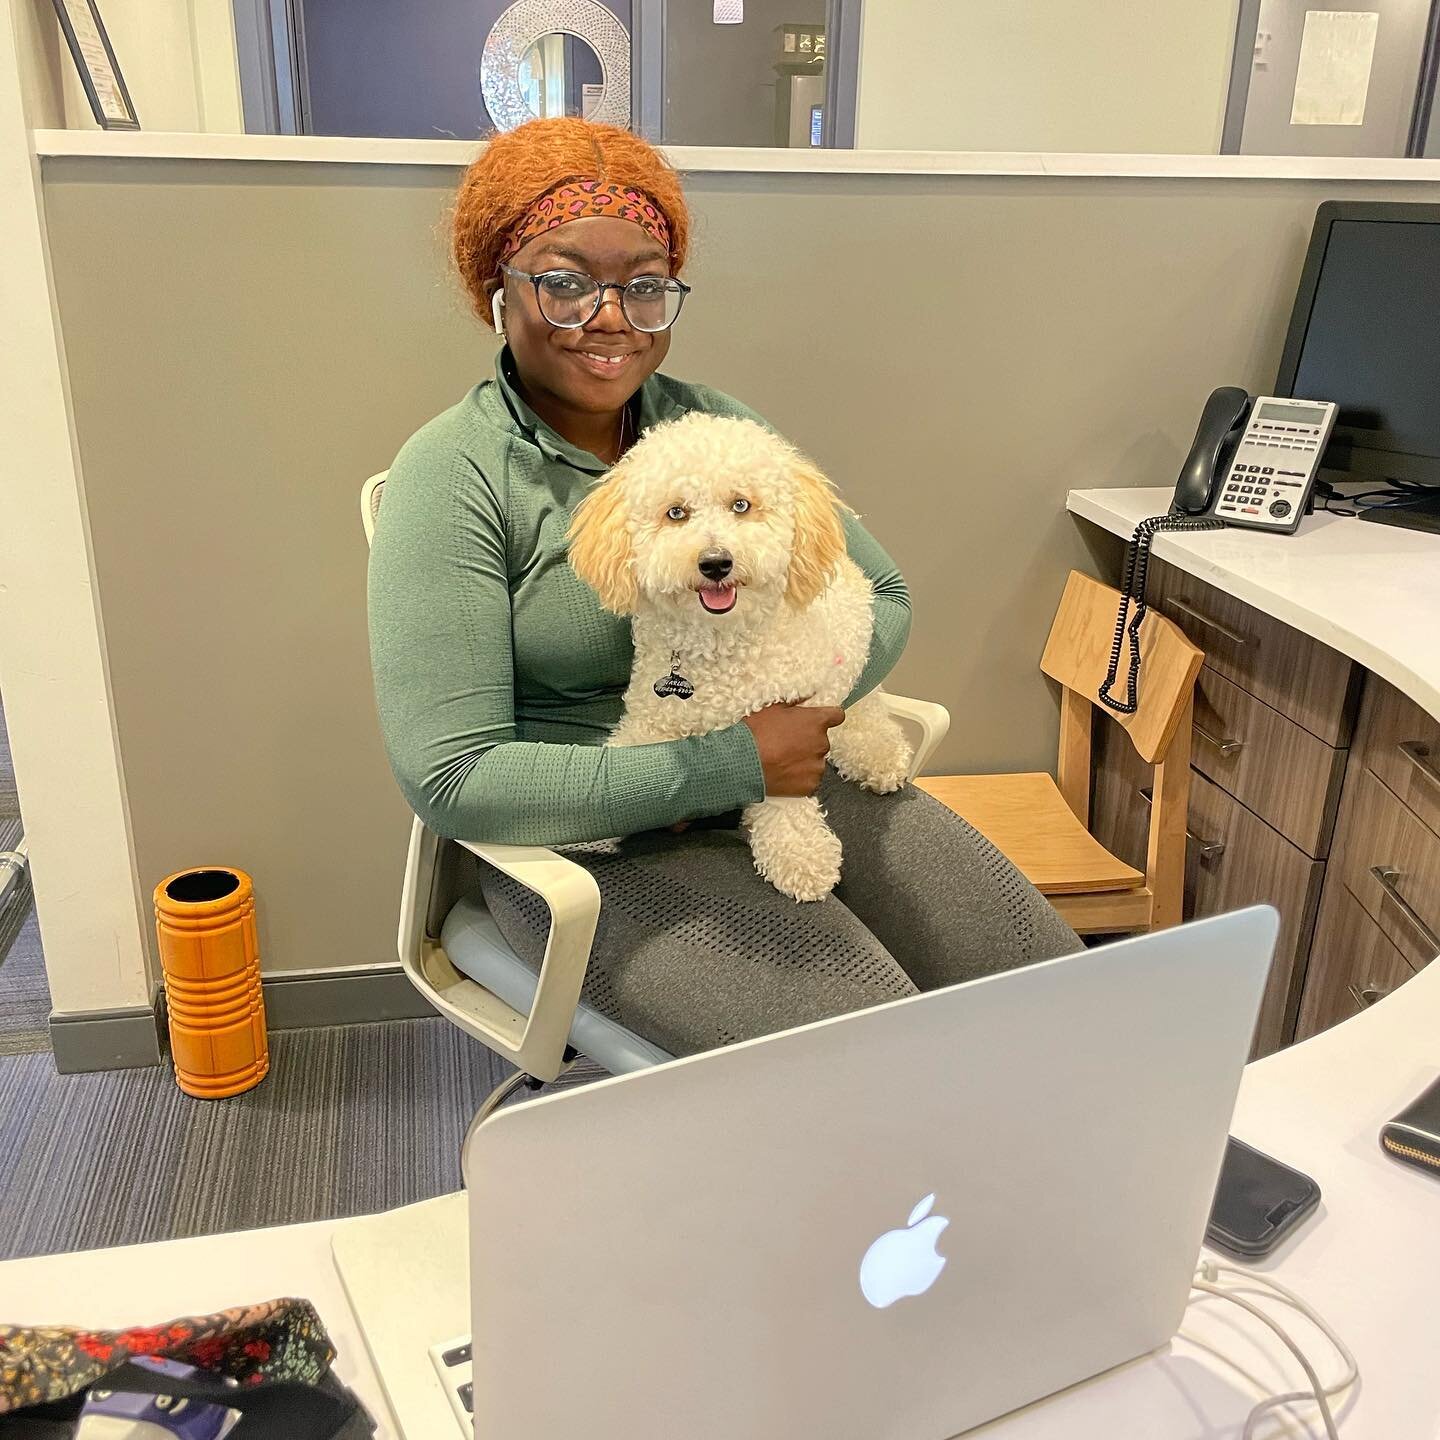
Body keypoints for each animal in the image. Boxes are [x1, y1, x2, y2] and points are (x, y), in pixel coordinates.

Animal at [564, 411, 910, 898]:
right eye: (676, 512)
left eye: (741, 505)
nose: (715, 562)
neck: (718, 648)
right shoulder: (652, 717)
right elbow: (623, 764)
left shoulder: (794, 736)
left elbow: (784, 804)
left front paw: (801, 856)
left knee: (866, 715)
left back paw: (878, 756)